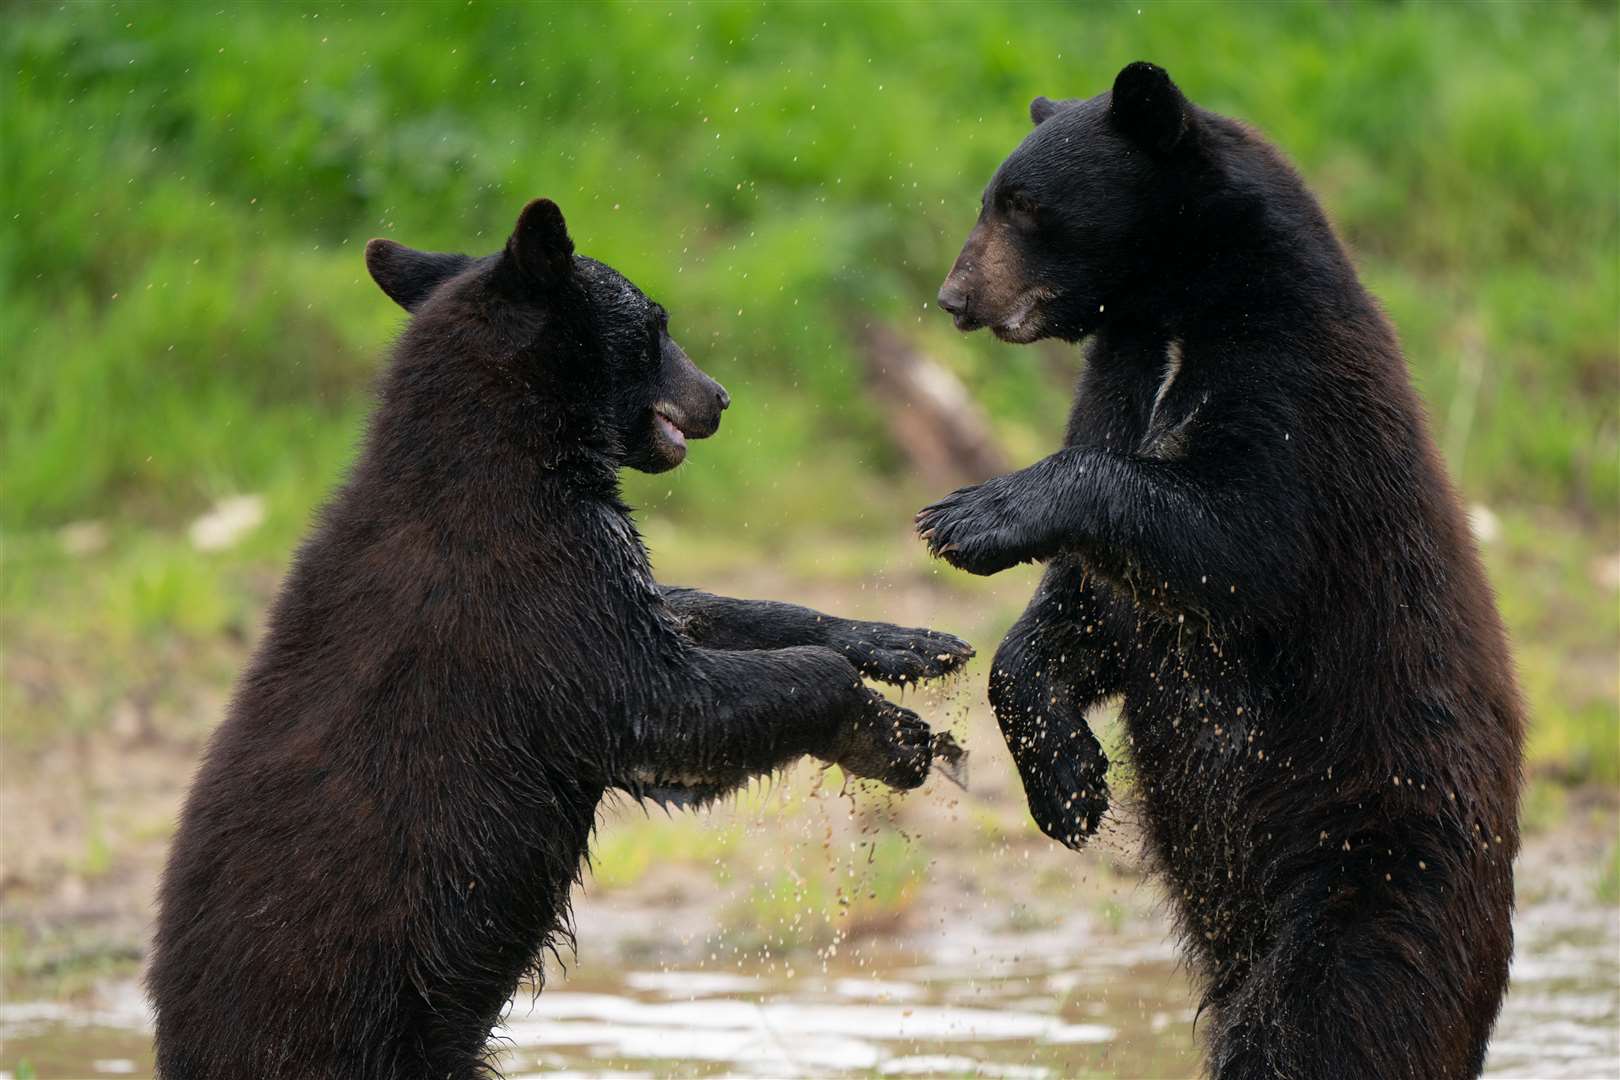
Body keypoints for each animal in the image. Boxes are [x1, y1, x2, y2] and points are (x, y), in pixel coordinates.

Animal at [145, 198, 965, 1075]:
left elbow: (692, 614)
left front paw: (909, 645)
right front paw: (888, 731)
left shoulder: (584, 568)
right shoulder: (526, 600)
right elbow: (666, 705)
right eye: (657, 326)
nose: (720, 396)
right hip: (346, 1022)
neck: (516, 454)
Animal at [920, 65, 1522, 1080]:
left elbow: (1239, 545)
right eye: (988, 199)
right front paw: (1069, 783)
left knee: (1324, 1026)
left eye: (1026, 204)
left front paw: (970, 515)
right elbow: (1093, 607)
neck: (1179, 308)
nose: (956, 297)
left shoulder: (1302, 400)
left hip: (1378, 866)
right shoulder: (1121, 380)